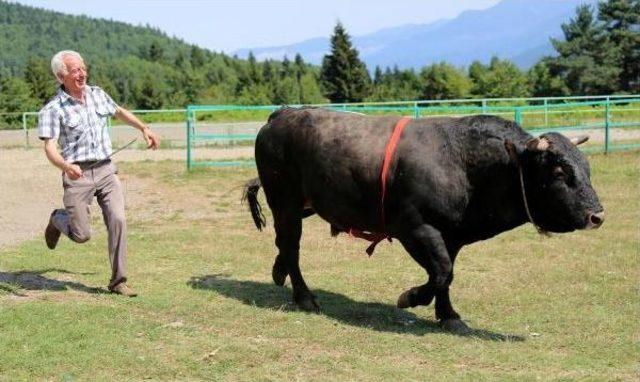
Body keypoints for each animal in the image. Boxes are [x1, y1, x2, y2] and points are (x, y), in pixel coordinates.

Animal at [242, 106, 604, 332]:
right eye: (559, 172)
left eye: (586, 166)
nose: (597, 214)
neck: (463, 163)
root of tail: (283, 114)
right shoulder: (415, 228)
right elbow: (441, 271)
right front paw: (411, 297)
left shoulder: (452, 235)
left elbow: (447, 275)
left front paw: (449, 316)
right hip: (286, 202)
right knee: (291, 245)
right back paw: (304, 297)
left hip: (304, 204)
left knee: (283, 244)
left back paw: (278, 272)